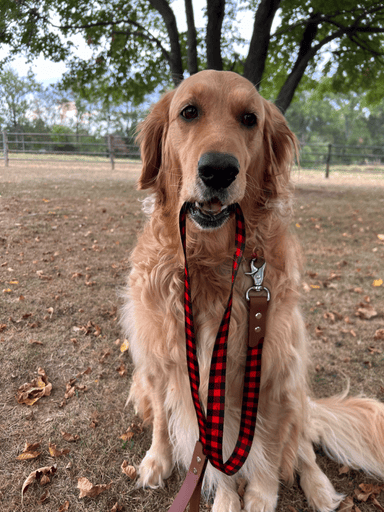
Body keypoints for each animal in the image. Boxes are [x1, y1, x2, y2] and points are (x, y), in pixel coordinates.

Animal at [121, 69, 384, 512]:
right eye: (188, 112)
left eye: (249, 119)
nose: (218, 170)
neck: (213, 260)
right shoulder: (162, 362)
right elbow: (181, 434)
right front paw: (172, 468)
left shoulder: (272, 375)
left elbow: (270, 454)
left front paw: (260, 497)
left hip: (295, 392)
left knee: (303, 450)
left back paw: (320, 490)